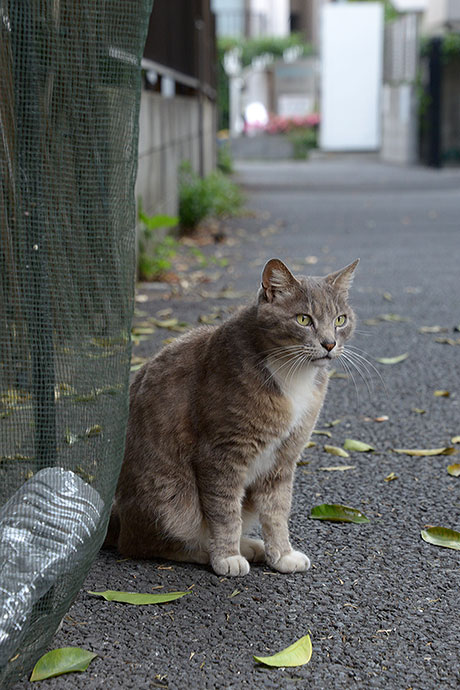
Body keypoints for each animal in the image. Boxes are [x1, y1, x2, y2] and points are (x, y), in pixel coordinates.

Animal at [107, 258, 360, 576]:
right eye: (303, 319)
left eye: (340, 320)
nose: (329, 344)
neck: (292, 372)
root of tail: (117, 519)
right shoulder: (222, 453)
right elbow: (225, 511)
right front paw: (227, 556)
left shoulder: (284, 458)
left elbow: (277, 511)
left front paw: (282, 554)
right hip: (170, 498)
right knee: (147, 543)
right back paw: (212, 550)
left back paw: (251, 546)